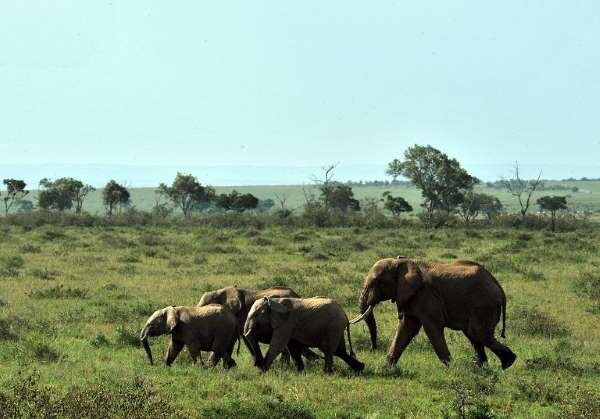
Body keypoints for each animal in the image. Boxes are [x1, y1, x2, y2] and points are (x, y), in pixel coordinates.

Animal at [352, 256, 516, 370]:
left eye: (376, 282)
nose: (373, 350)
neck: (402, 262)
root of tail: (499, 287)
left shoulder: (426, 296)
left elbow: (432, 328)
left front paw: (451, 368)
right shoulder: (412, 297)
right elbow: (406, 328)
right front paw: (386, 369)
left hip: (484, 304)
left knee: (477, 333)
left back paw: (507, 363)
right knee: (474, 335)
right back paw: (483, 368)